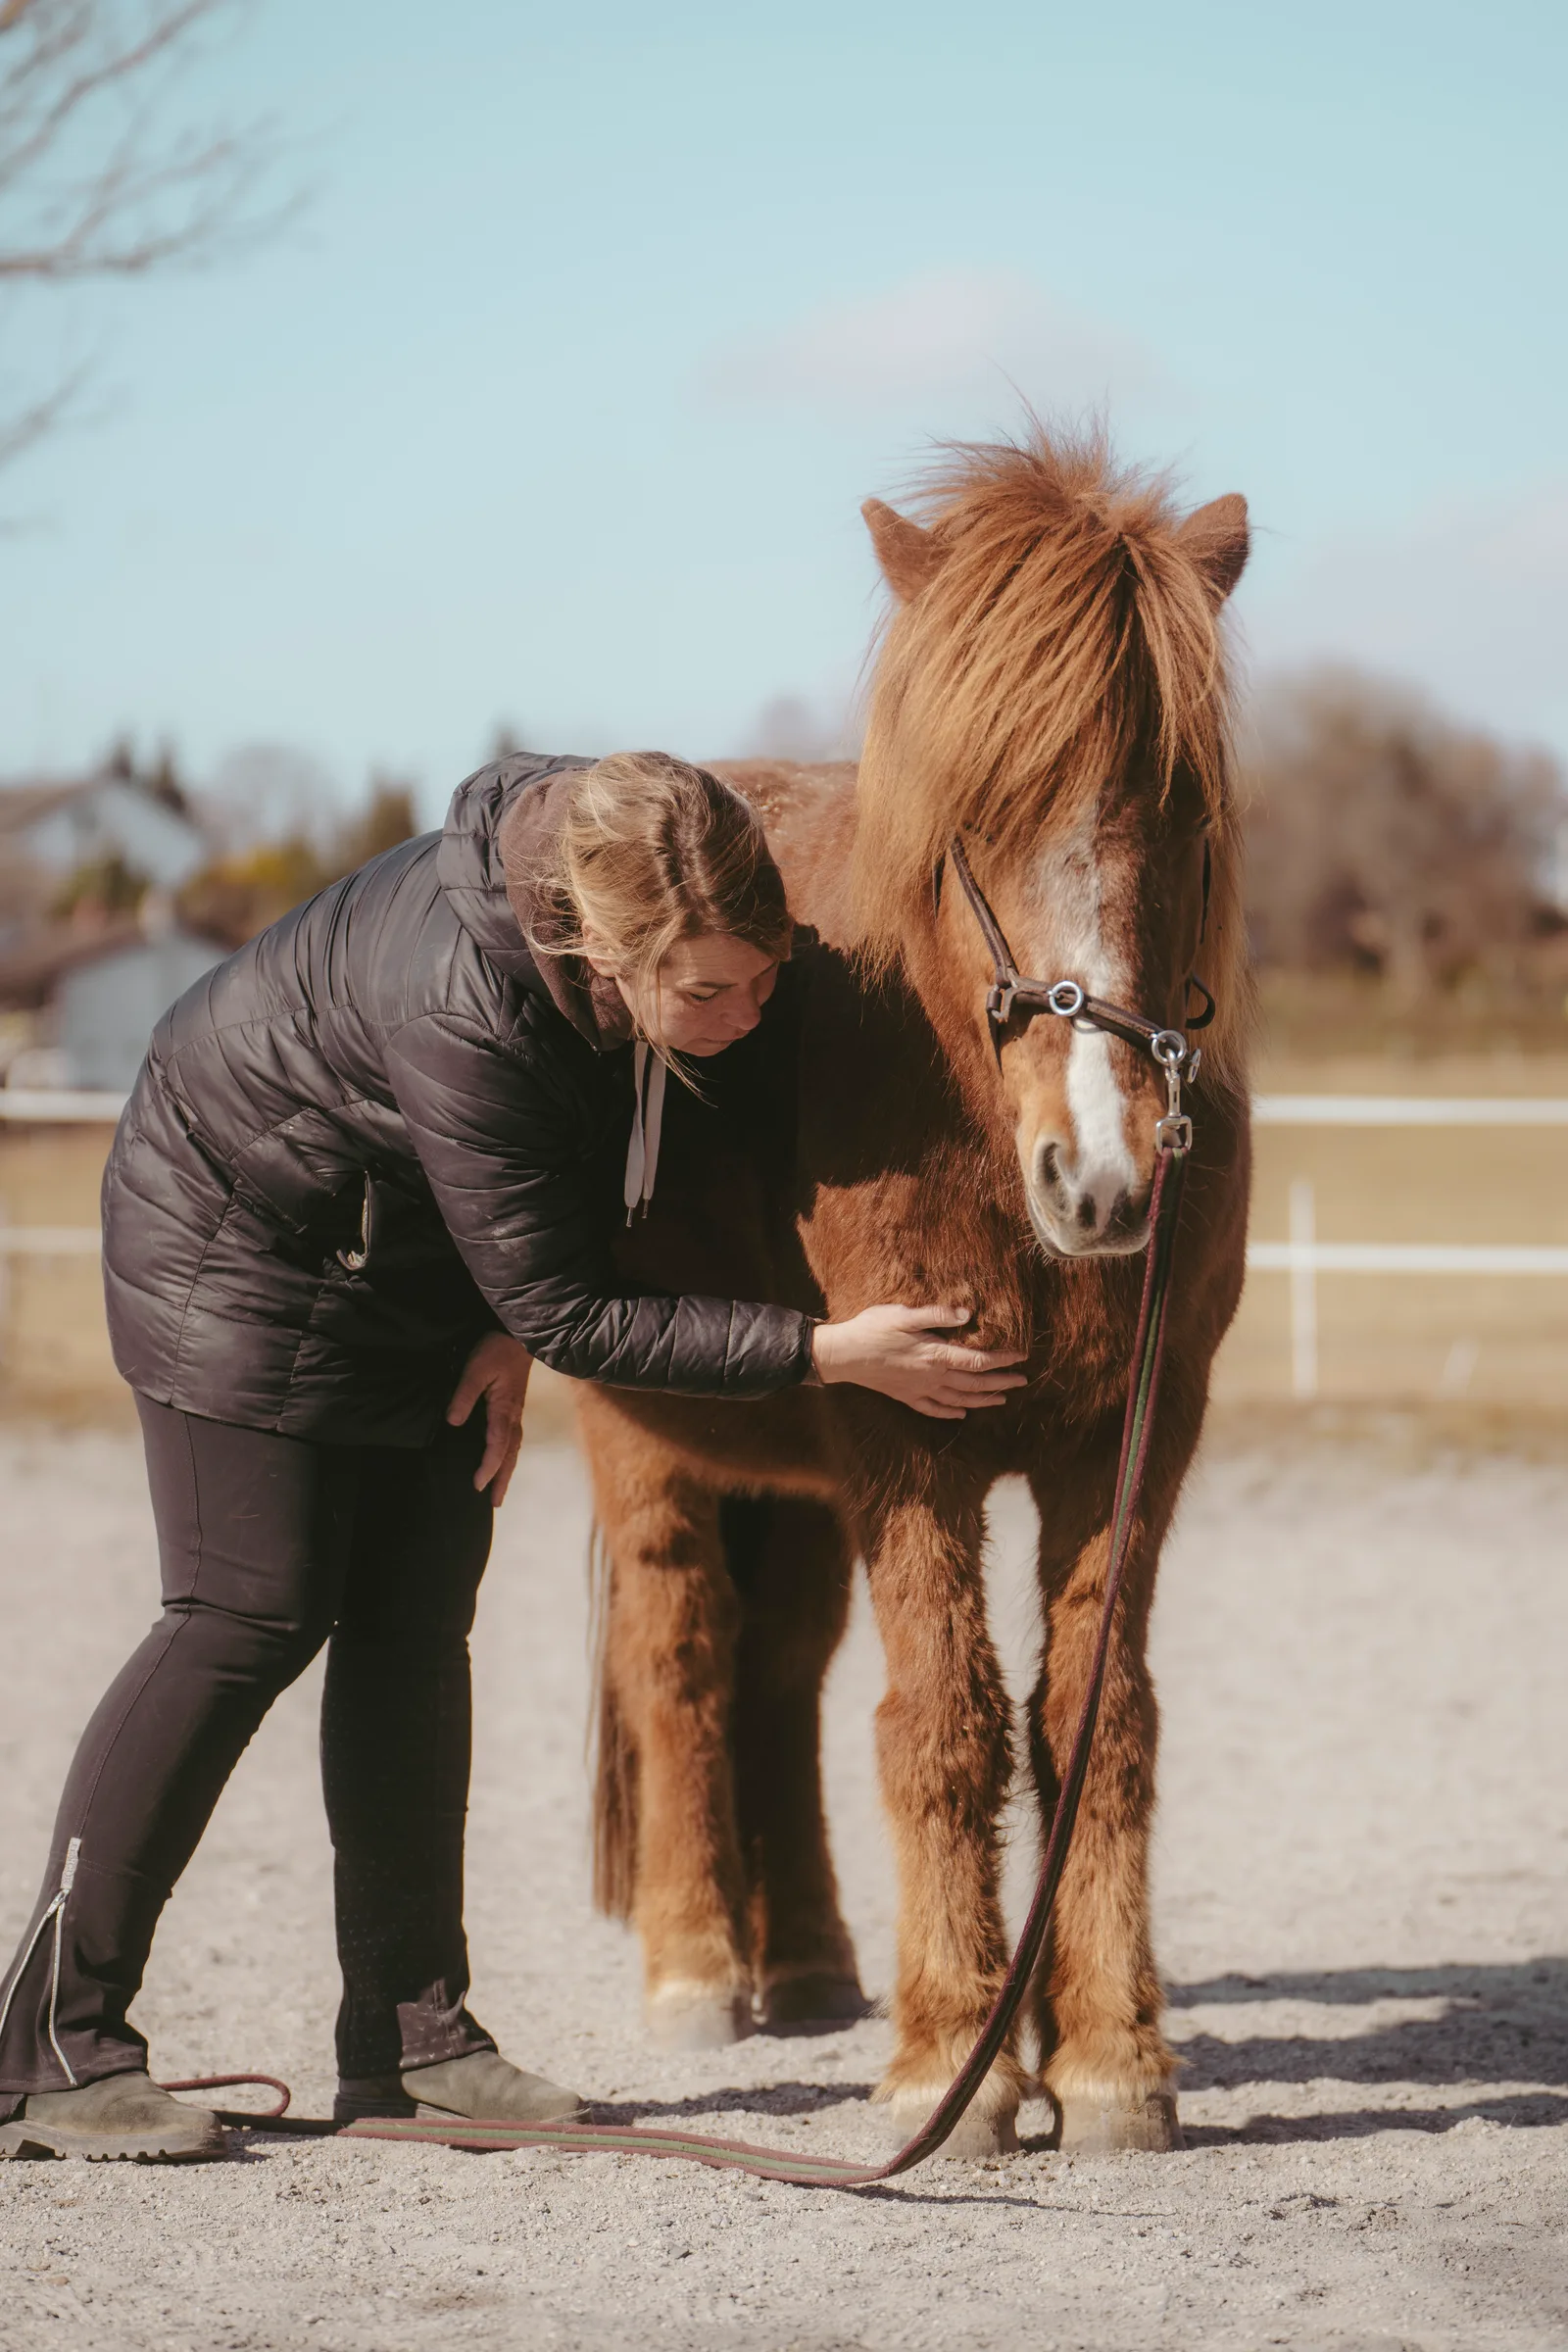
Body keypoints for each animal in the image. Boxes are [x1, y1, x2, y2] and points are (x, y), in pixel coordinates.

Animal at [575, 426, 1254, 2157]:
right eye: (968, 821)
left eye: (1180, 806)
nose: (1102, 1175)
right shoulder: (907, 1443)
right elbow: (942, 1722)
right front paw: (957, 2052)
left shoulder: (1135, 1441)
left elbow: (1096, 1718)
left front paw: (1106, 2057)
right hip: (646, 1445)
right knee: (684, 1658)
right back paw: (696, 1972)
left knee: (781, 1674)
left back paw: (816, 1964)